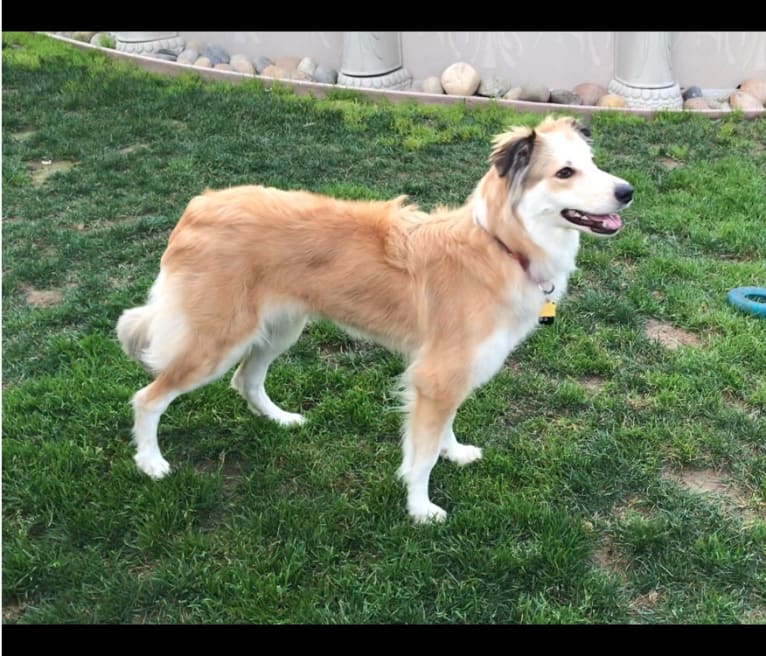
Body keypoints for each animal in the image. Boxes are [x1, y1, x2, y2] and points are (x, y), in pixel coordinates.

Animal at [118, 114, 636, 524]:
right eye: (565, 172)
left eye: (593, 164)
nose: (628, 191)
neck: (502, 246)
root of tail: (199, 205)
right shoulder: (438, 374)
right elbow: (421, 455)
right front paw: (420, 509)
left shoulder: (450, 372)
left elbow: (444, 426)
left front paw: (454, 452)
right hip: (216, 341)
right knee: (148, 398)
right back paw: (150, 462)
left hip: (280, 329)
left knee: (246, 380)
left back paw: (281, 419)